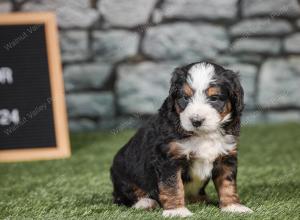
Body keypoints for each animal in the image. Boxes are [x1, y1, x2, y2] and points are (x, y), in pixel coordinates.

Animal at [110, 61, 253, 217]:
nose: (196, 121)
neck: (203, 134)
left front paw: (233, 206)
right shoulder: (169, 158)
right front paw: (177, 211)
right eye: (185, 97)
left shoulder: (226, 156)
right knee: (124, 196)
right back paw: (145, 202)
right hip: (123, 175)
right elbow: (173, 185)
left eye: (214, 98)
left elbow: (228, 183)